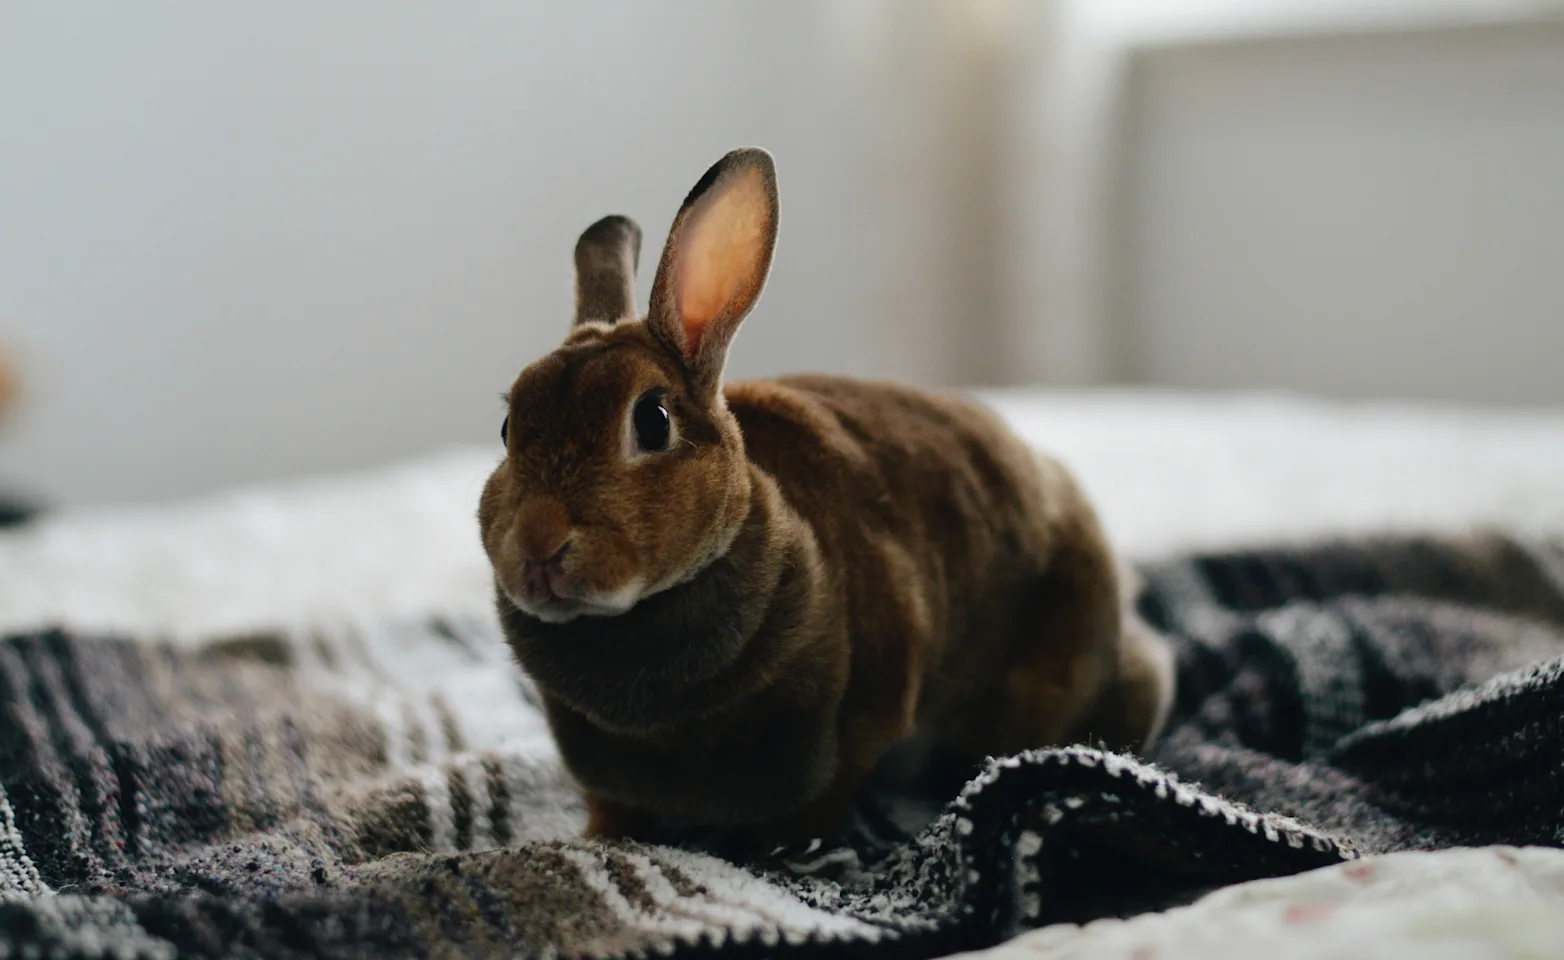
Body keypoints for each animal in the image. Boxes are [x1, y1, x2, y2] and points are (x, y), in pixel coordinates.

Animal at [475, 146, 1176, 856]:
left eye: (651, 421)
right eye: (508, 429)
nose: (538, 544)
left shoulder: (865, 705)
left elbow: (830, 787)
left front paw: (792, 852)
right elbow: (612, 807)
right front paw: (597, 840)